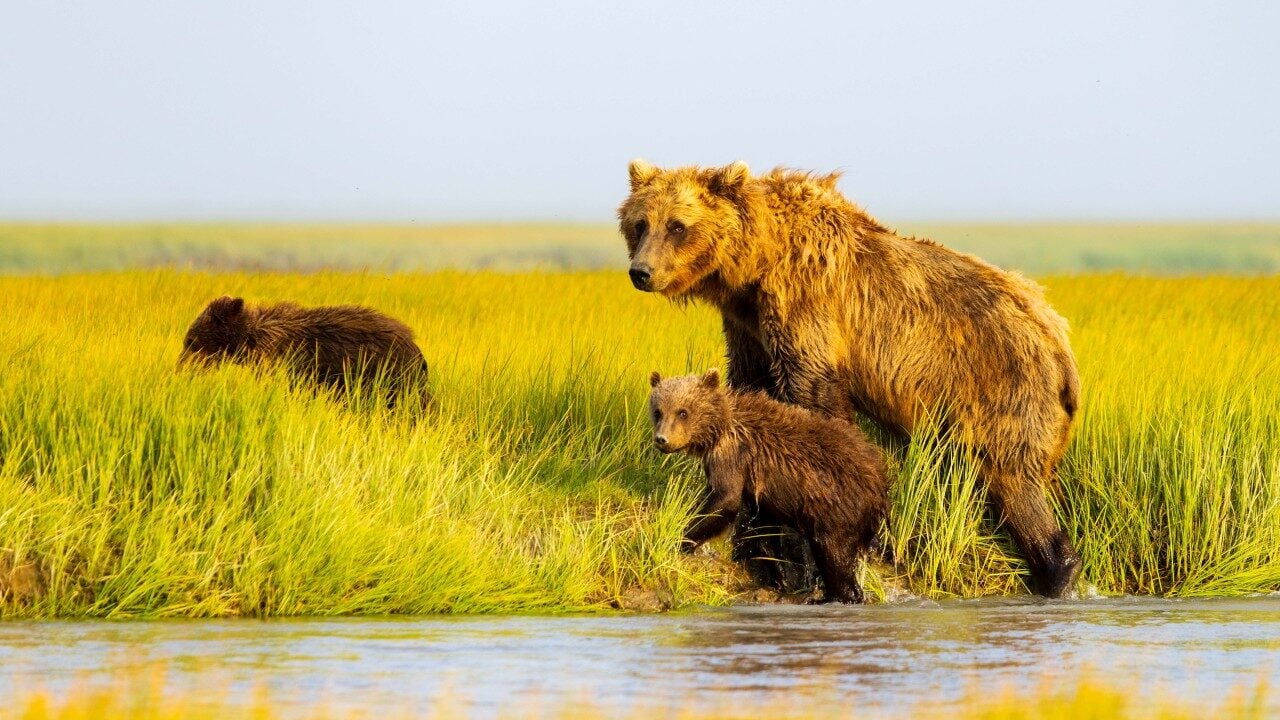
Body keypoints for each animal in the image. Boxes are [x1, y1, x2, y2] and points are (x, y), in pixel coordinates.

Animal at [649, 369, 889, 603]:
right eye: (658, 411)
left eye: (682, 412)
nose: (662, 439)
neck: (718, 428)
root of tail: (879, 480)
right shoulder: (758, 488)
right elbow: (763, 531)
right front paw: (778, 577)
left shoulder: (733, 455)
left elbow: (724, 500)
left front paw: (680, 538)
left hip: (836, 505)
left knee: (833, 553)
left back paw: (835, 597)